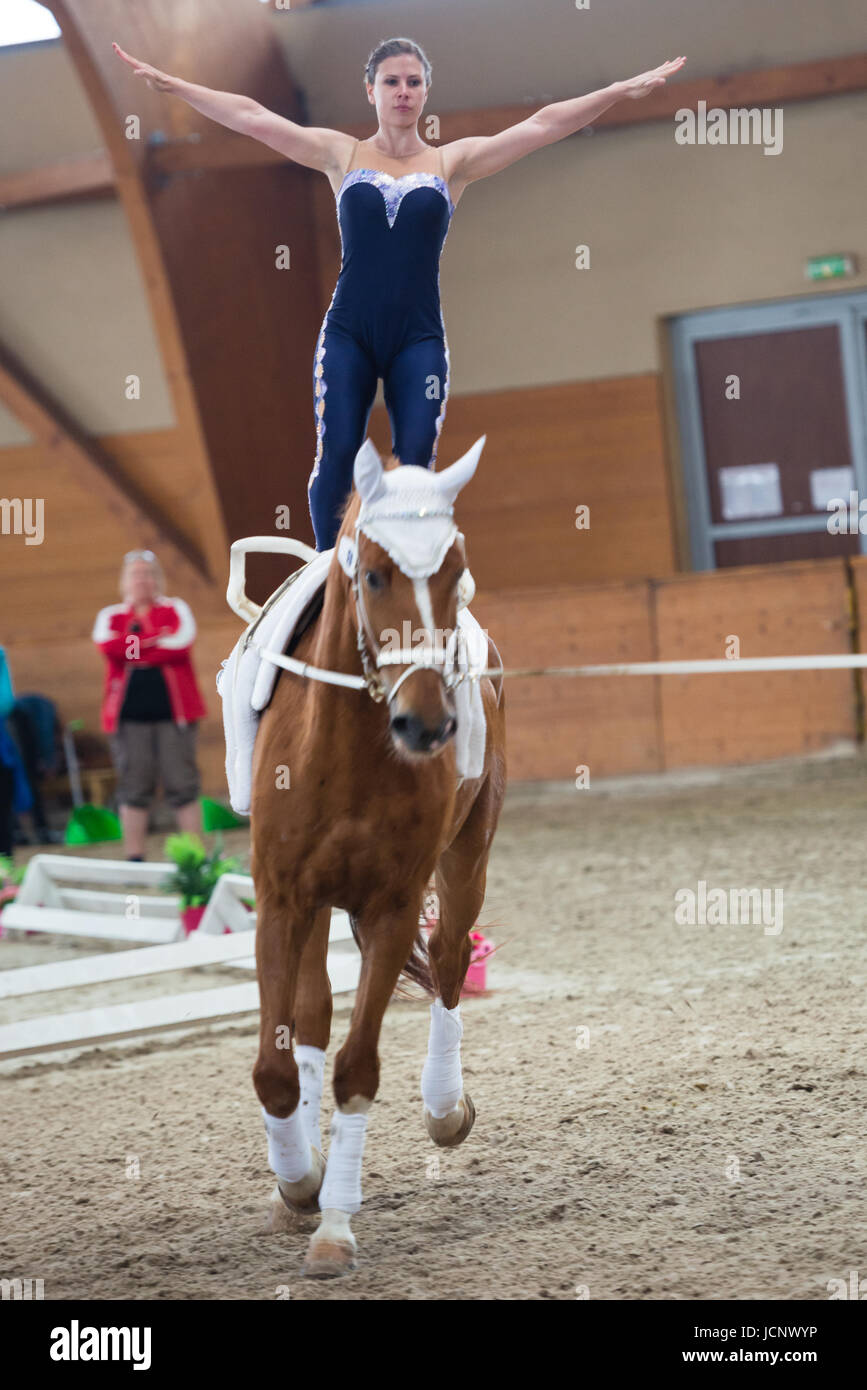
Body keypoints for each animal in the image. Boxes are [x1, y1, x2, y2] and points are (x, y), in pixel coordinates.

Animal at [250, 433, 505, 1273]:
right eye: (372, 575)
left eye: (457, 574)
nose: (426, 725)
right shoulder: (282, 900)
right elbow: (275, 1068)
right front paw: (299, 1185)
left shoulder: (392, 906)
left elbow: (357, 1068)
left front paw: (333, 1224)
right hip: (317, 906)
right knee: (309, 1016)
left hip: (466, 857)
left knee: (452, 958)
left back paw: (444, 1107)